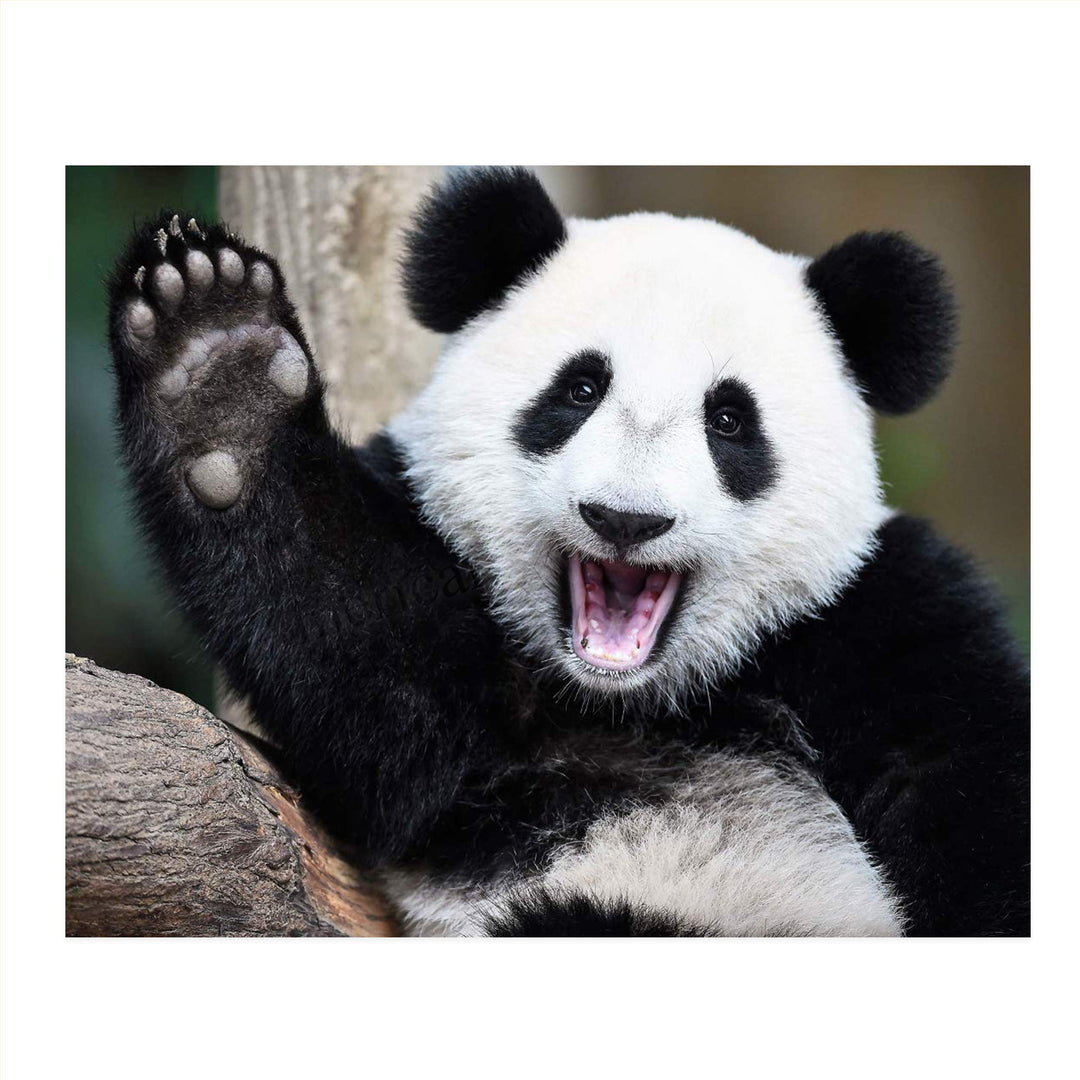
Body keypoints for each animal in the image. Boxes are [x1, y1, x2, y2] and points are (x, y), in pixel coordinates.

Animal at [108, 167, 1029, 937]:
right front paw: (220, 371)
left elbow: (970, 789)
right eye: (580, 389)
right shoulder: (472, 736)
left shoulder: (877, 614)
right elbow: (378, 681)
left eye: (730, 420)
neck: (637, 701)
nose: (625, 519)